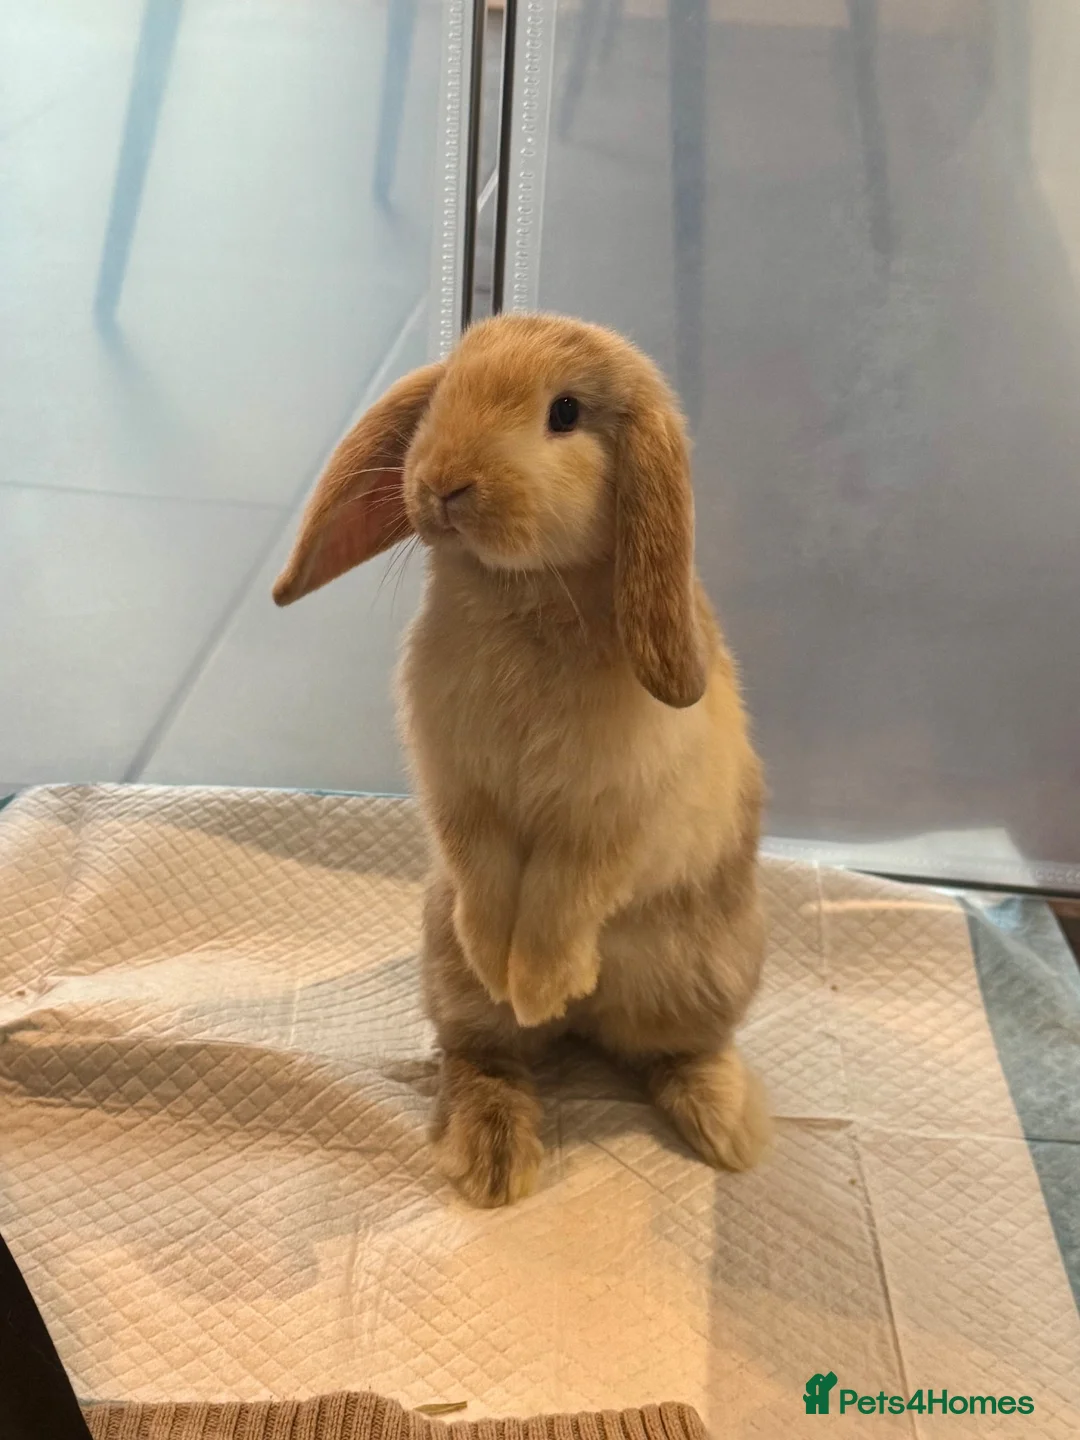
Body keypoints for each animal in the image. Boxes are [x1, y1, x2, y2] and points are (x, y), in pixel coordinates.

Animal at [274, 312, 770, 1207]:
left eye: (565, 412)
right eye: (447, 390)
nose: (442, 484)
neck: (527, 593)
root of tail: (592, 1025)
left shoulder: (611, 820)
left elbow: (566, 892)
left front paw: (538, 982)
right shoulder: (462, 796)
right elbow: (486, 872)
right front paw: (504, 968)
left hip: (710, 974)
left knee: (680, 1052)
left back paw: (724, 1127)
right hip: (449, 979)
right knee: (486, 1057)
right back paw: (495, 1156)